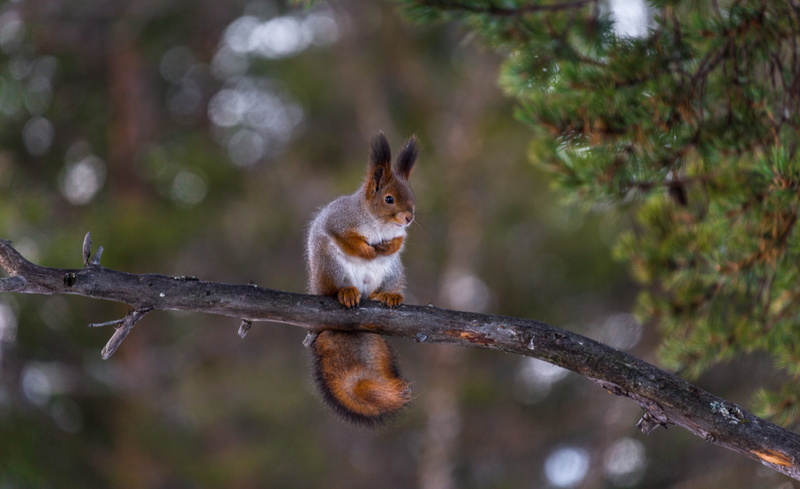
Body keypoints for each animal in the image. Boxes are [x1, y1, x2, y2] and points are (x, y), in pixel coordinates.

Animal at [304, 132, 418, 426]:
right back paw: (345, 292)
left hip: (393, 271)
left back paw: (387, 295)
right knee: (335, 286)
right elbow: (348, 239)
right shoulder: (337, 222)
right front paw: (366, 250)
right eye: (389, 199)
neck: (379, 223)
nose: (409, 218)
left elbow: (399, 242)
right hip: (330, 265)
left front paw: (387, 246)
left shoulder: (400, 236)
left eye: (412, 196)